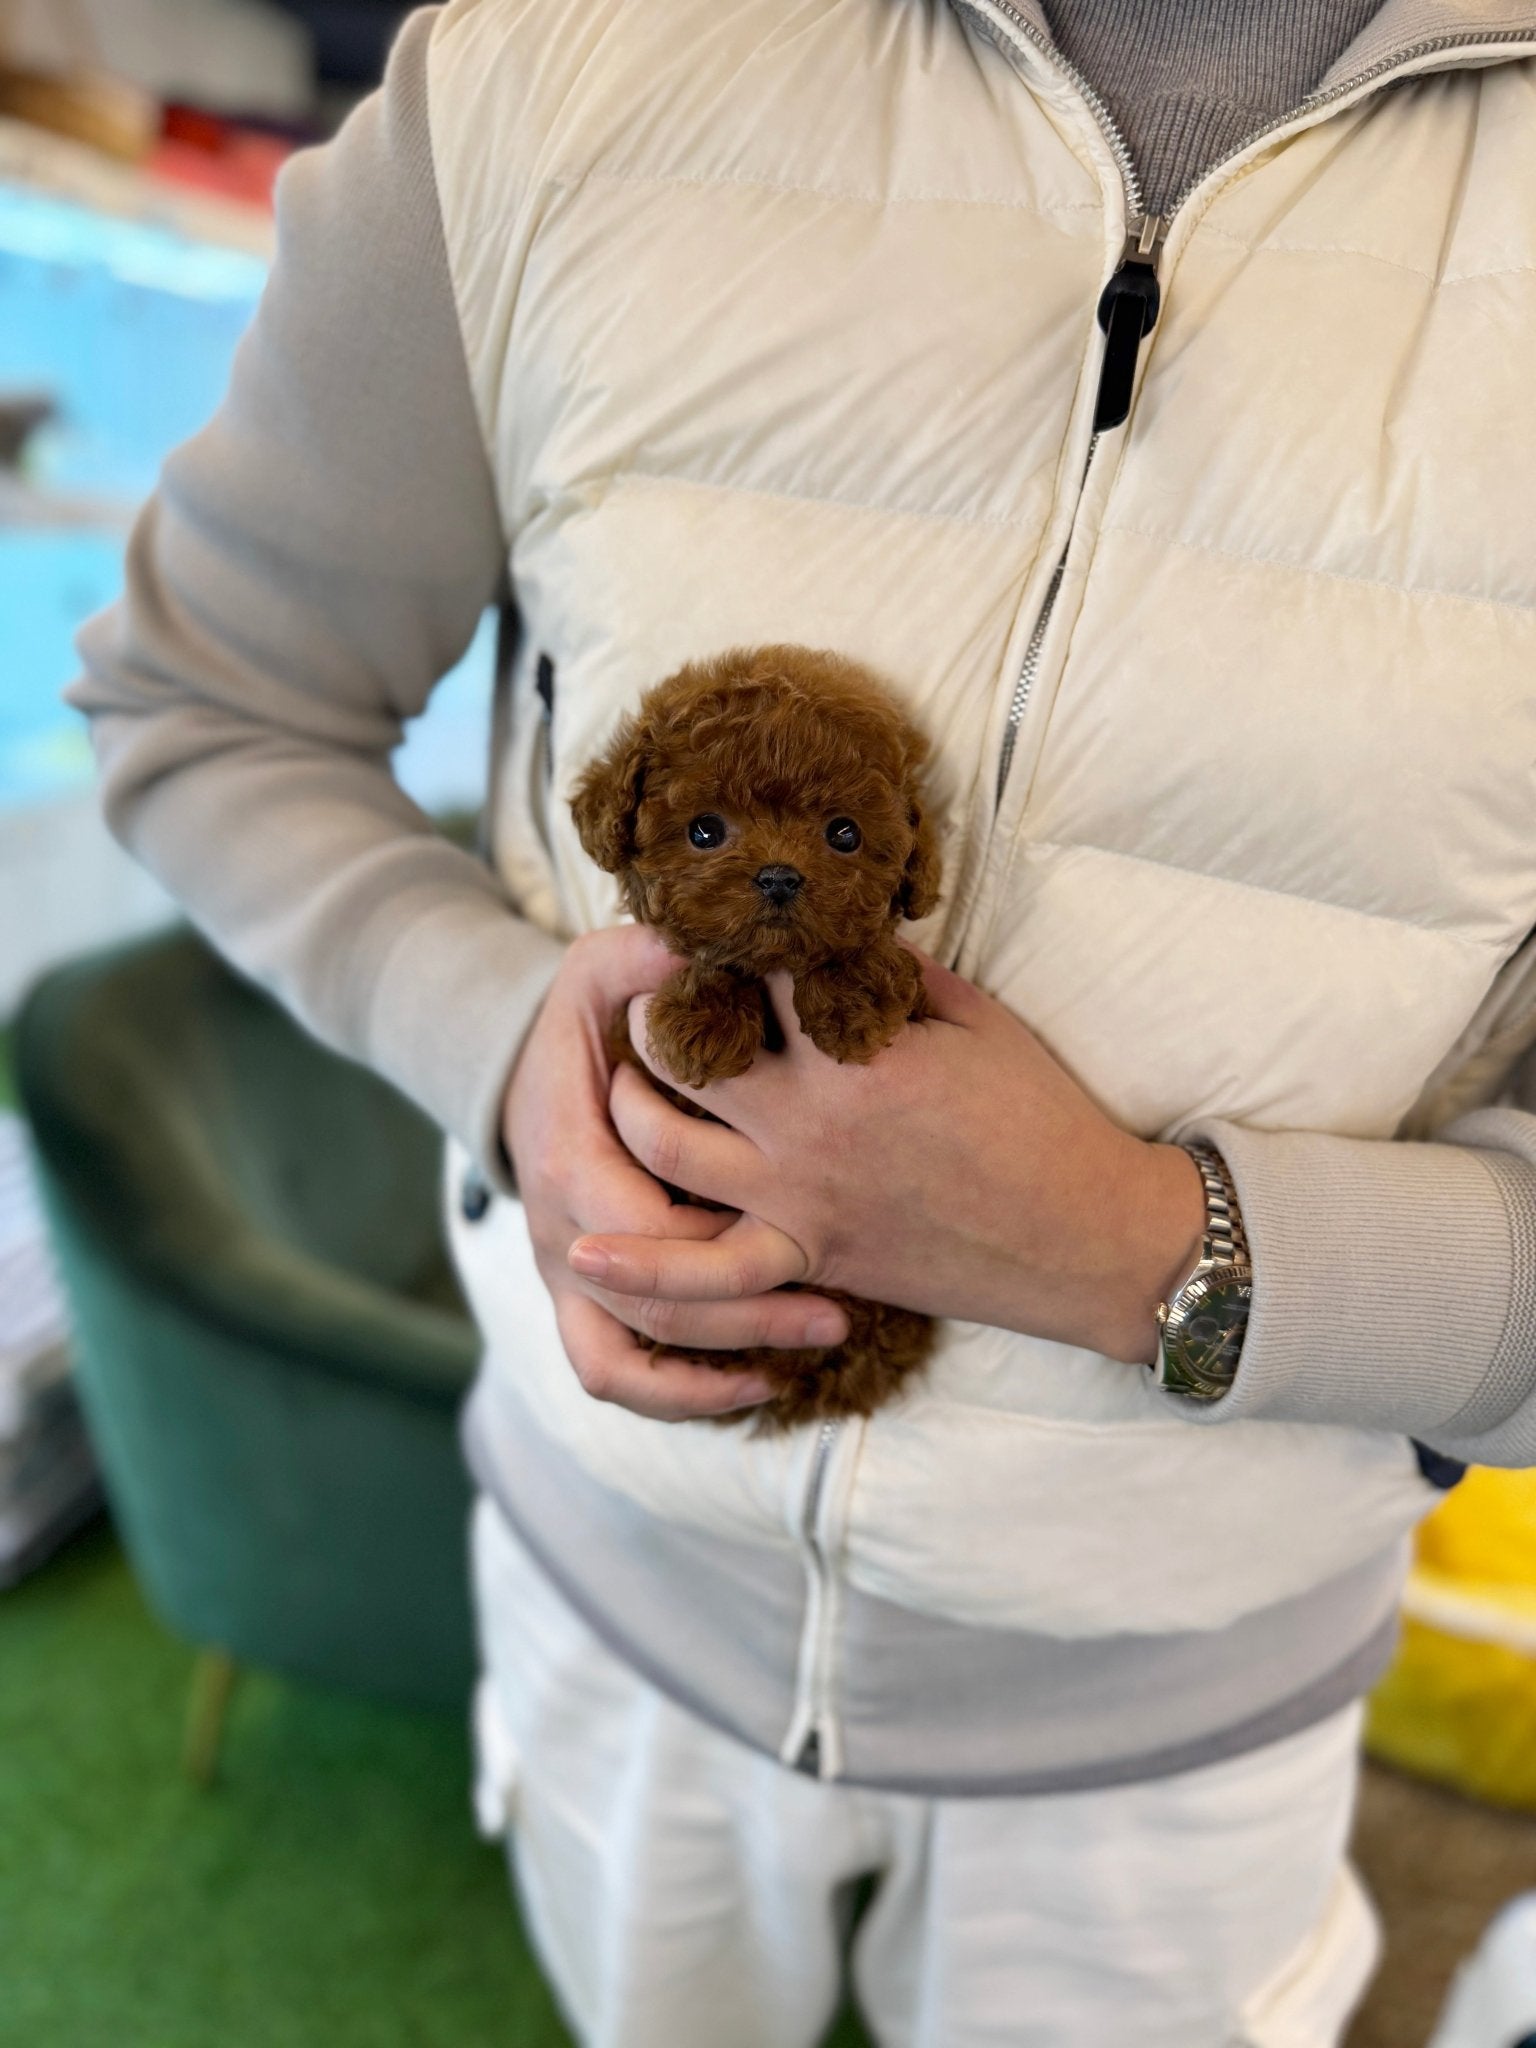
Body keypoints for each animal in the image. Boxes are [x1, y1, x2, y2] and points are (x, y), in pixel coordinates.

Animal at [573, 647, 946, 1433]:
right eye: (705, 830)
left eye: (844, 833)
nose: (778, 877)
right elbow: (718, 963)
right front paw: (703, 1023)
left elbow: (858, 963)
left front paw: (854, 993)